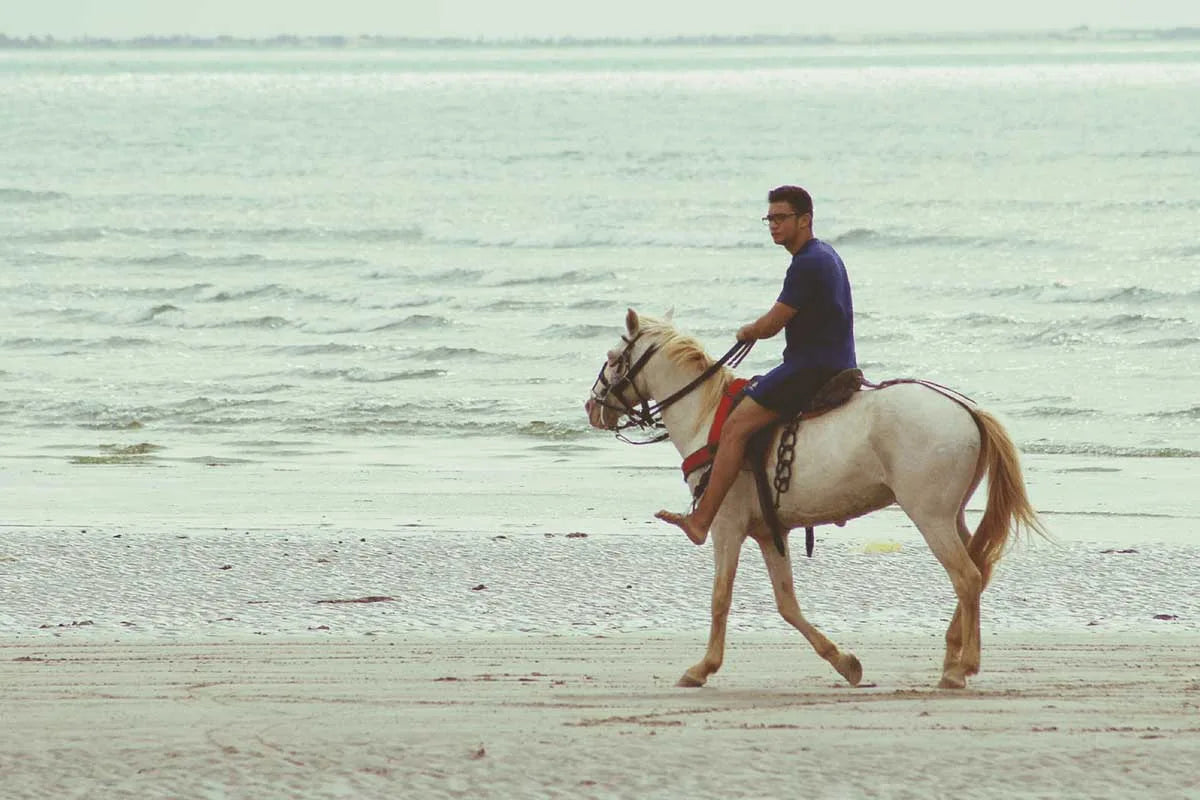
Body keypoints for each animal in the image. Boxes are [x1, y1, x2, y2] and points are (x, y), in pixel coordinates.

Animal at [585, 309, 1046, 690]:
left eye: (613, 357)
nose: (592, 406)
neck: (708, 417)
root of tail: (967, 410)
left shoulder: (727, 526)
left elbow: (720, 597)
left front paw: (703, 668)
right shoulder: (769, 533)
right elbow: (787, 603)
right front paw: (844, 662)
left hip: (930, 517)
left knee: (966, 577)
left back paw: (961, 667)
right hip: (952, 517)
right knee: (979, 571)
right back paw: (954, 656)